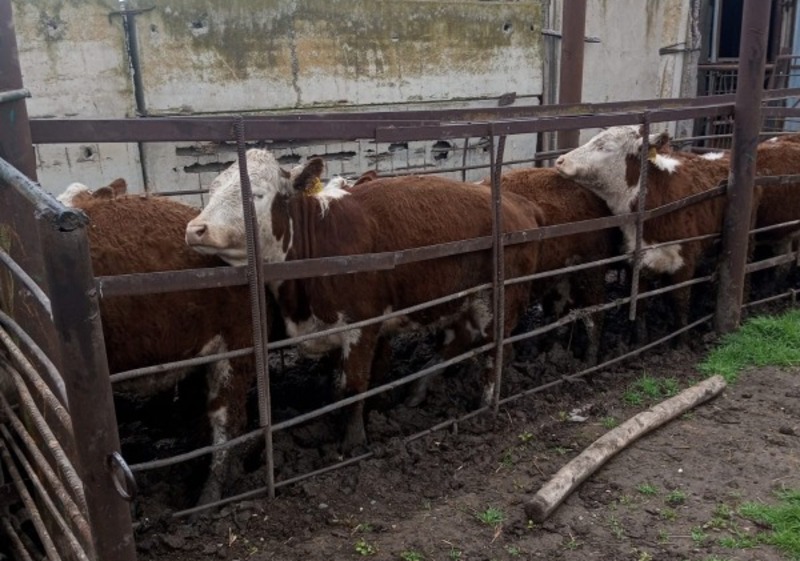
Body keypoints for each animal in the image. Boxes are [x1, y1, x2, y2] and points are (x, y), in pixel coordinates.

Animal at [185, 151, 541, 453]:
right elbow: (339, 387)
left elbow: (353, 386)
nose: (196, 229)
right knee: (460, 341)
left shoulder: (361, 325)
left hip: (499, 297)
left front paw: (353, 443)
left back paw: (485, 405)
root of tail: (517, 205)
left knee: (496, 349)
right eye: (212, 189)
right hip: (461, 300)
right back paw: (417, 390)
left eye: (256, 194)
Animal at [554, 125, 732, 331]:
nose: (560, 161)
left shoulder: (685, 265)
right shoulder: (637, 264)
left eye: (605, 147)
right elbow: (639, 313)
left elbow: (680, 310)